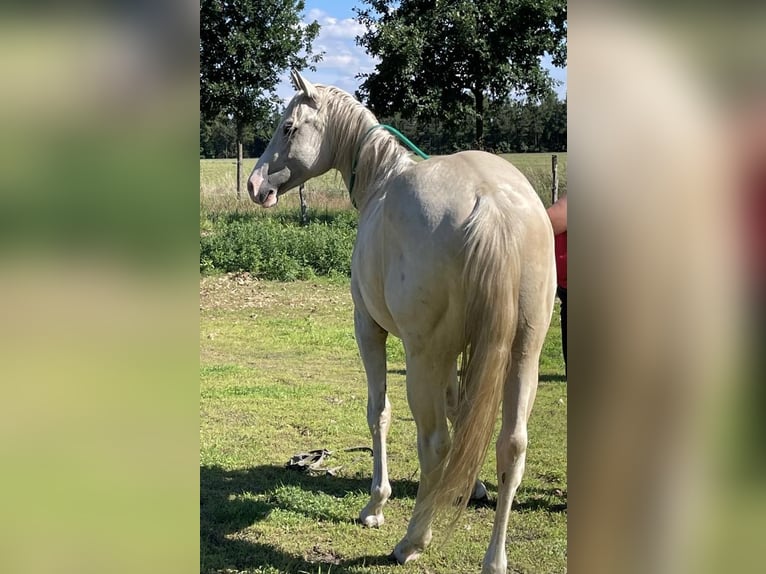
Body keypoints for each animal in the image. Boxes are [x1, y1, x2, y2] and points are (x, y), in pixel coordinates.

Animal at [249, 72, 556, 574]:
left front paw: (376, 504)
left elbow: (379, 412)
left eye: (288, 127)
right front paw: (470, 487)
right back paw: (494, 558)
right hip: (522, 353)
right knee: (511, 446)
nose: (255, 185)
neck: (382, 180)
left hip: (423, 358)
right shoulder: (463, 352)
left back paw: (412, 540)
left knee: (434, 443)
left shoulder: (368, 329)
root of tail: (492, 203)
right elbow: (461, 409)